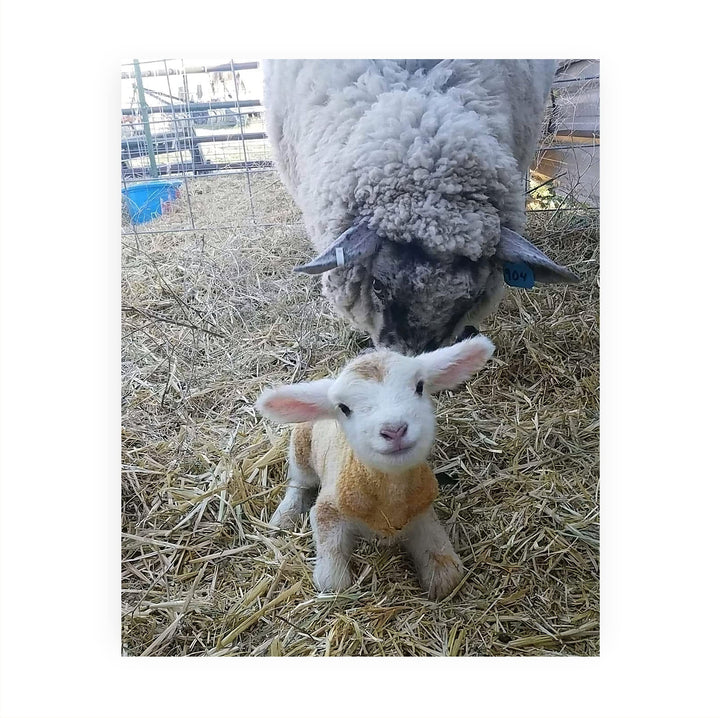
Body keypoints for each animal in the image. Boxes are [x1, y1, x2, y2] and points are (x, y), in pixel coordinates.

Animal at [255, 334, 495, 599]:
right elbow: (332, 580)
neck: (390, 498)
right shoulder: (328, 509)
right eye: (344, 408)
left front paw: (440, 575)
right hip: (301, 448)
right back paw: (284, 516)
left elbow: (445, 566)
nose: (394, 430)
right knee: (298, 482)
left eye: (420, 386)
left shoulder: (421, 510)